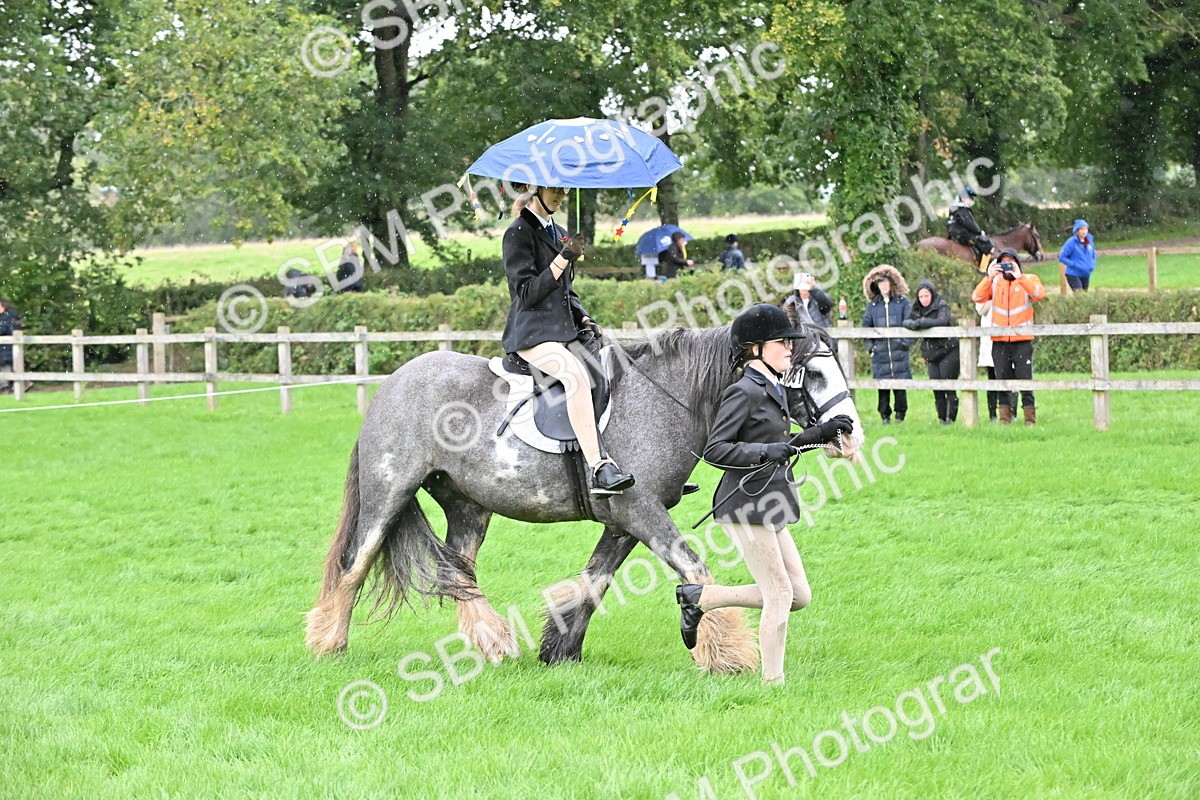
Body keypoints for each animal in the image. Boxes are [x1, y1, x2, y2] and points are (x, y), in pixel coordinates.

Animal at [305, 322, 865, 673]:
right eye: (815, 372)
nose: (850, 435)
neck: (670, 397)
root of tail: (391, 383)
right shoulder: (640, 511)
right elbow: (695, 569)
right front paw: (727, 655)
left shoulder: (624, 520)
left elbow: (596, 582)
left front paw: (561, 650)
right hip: (389, 492)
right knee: (355, 564)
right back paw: (329, 643)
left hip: (468, 505)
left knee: (460, 574)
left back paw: (493, 642)